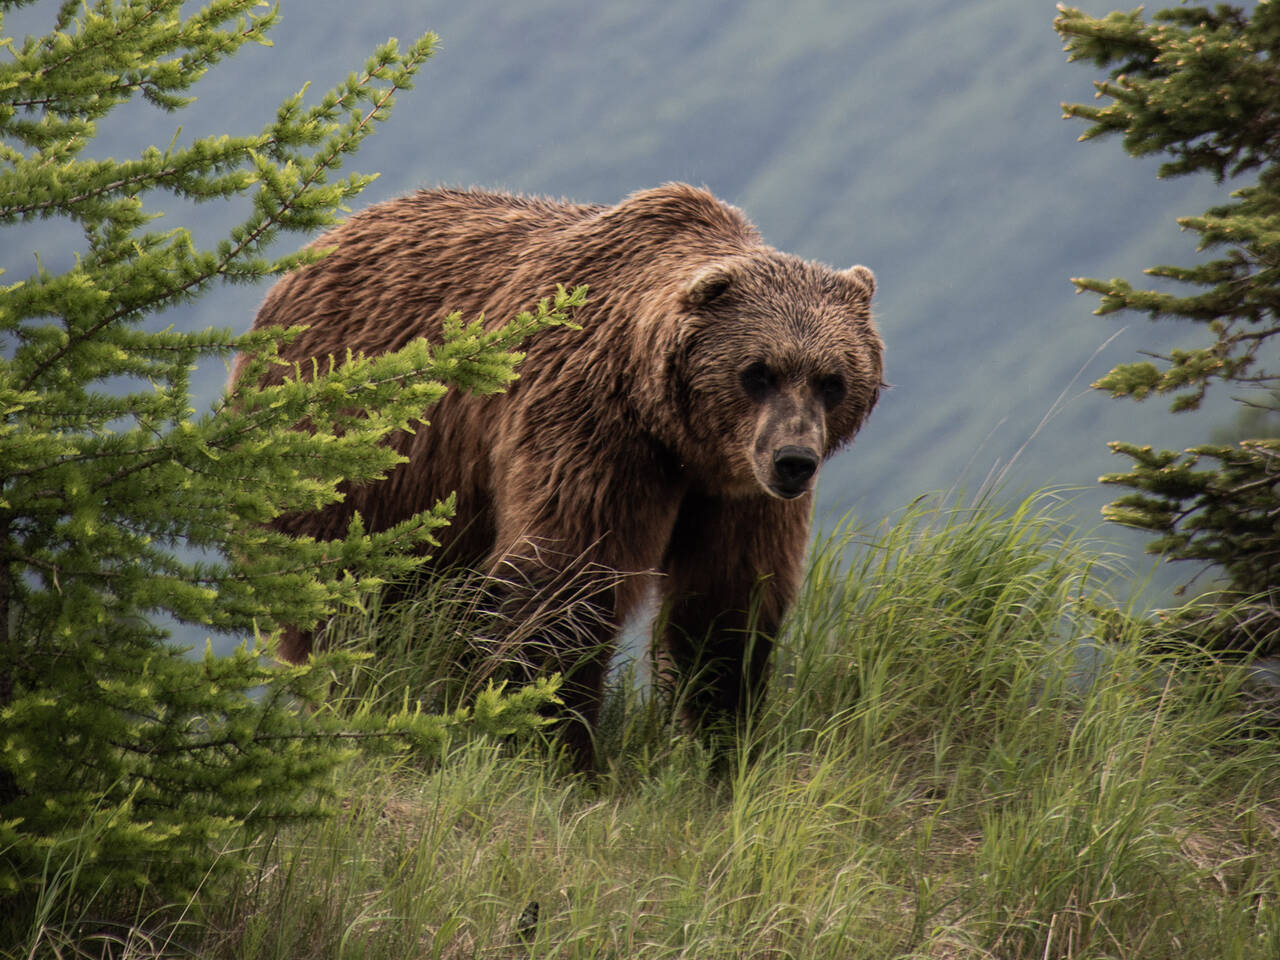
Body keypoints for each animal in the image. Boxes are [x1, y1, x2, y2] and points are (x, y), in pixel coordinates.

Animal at [238, 184, 880, 773]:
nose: (794, 460)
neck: (673, 432)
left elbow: (727, 602)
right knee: (350, 598)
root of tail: (320, 245)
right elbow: (565, 579)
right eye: (758, 372)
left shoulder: (736, 490)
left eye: (833, 379)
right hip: (355, 455)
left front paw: (720, 745)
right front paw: (556, 749)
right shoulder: (590, 425)